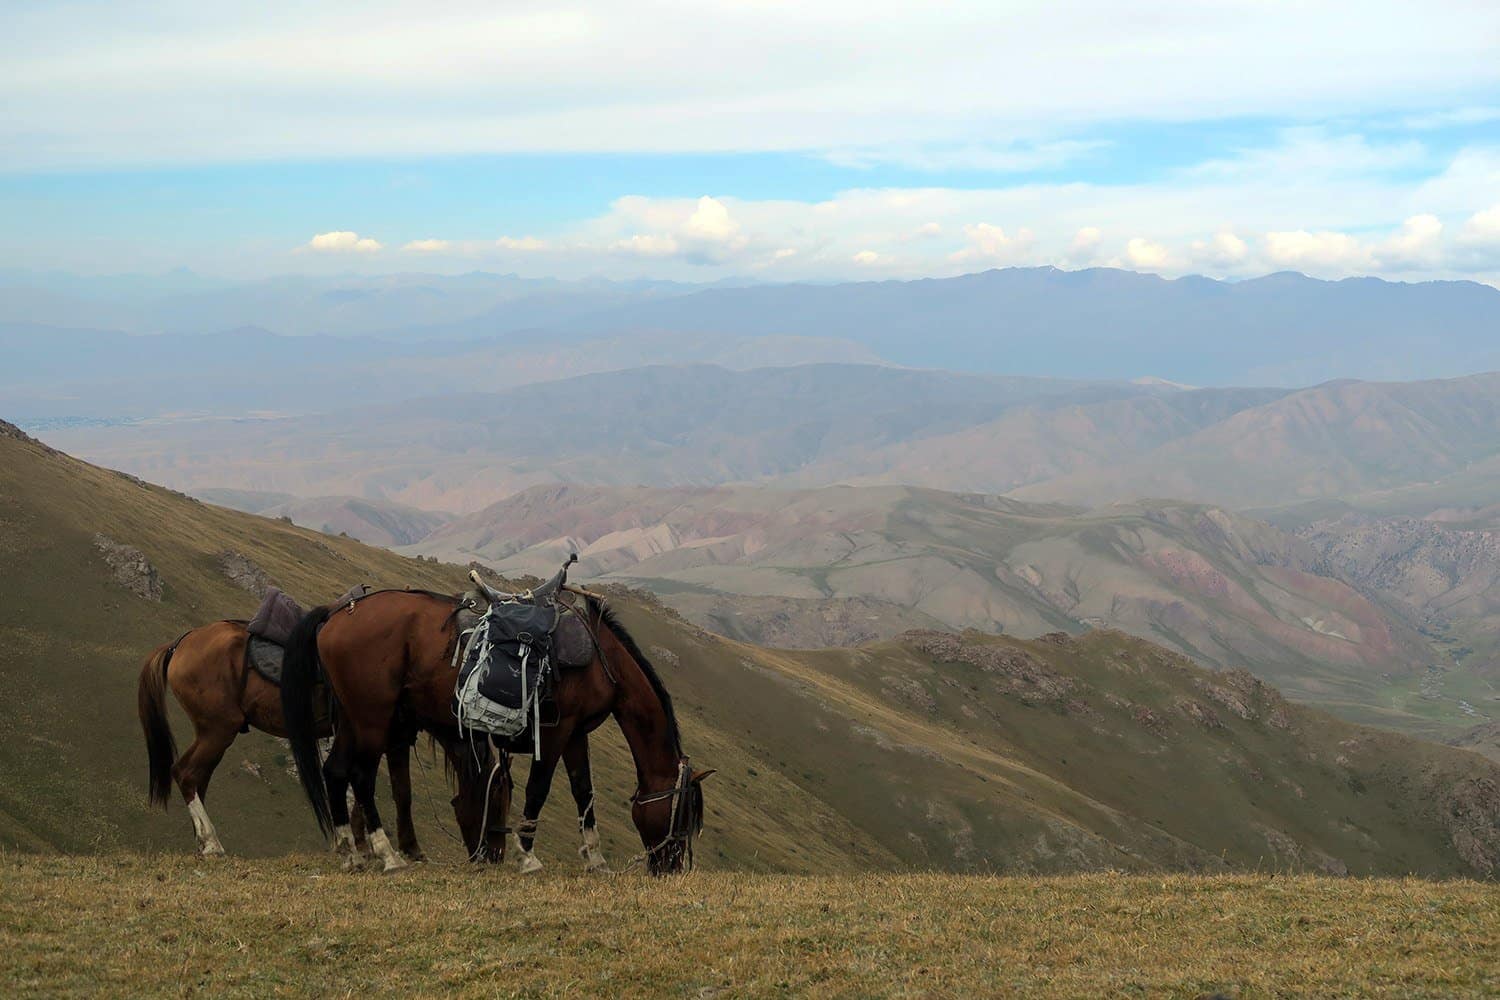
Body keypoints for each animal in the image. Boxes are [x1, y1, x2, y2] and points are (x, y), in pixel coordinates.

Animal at [136, 617, 429, 863]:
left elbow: (390, 789)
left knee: (198, 777)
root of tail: (180, 644)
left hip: (212, 733)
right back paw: (211, 843)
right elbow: (373, 787)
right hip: (218, 730)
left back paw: (202, 843)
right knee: (186, 773)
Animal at [282, 587, 714, 875]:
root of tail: (336, 614)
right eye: (682, 817)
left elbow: (583, 792)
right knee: (360, 777)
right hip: (373, 718)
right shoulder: (555, 732)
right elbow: (539, 790)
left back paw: (351, 855)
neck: (600, 658)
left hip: (353, 720)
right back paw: (386, 855)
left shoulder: (576, 734)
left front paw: (595, 859)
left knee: (336, 772)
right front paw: (528, 857)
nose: (672, 867)